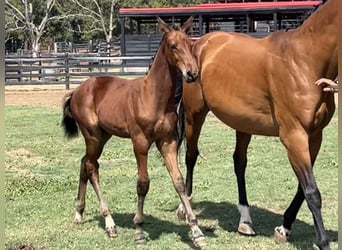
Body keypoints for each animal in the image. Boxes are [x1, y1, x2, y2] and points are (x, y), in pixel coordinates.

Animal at [61, 17, 206, 248]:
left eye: (190, 45)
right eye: (173, 46)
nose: (192, 74)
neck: (154, 96)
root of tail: (77, 91)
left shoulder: (168, 142)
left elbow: (179, 182)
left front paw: (196, 230)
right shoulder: (140, 143)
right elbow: (143, 184)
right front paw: (138, 231)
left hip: (103, 136)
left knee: (85, 163)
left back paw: (79, 214)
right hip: (92, 135)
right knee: (92, 167)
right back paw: (109, 223)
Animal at [178, 0, 338, 249]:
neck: (304, 61)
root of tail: (200, 44)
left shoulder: (314, 136)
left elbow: (303, 188)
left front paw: (284, 228)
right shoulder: (294, 137)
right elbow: (311, 191)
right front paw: (322, 242)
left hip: (243, 123)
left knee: (239, 163)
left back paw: (245, 220)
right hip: (195, 114)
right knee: (191, 156)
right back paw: (184, 209)